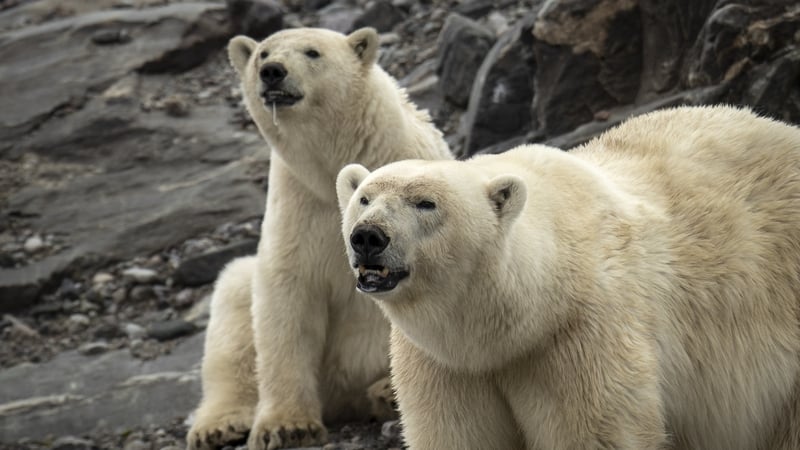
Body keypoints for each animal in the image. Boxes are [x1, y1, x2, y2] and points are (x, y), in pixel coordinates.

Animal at [186, 27, 451, 450]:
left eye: (313, 52)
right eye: (262, 54)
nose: (272, 72)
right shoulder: (299, 207)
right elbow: (286, 300)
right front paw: (286, 426)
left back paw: (384, 392)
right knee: (233, 313)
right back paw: (218, 424)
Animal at [336, 105, 800, 450]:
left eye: (425, 203)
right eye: (365, 198)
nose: (368, 237)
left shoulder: (580, 337)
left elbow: (597, 432)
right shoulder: (446, 364)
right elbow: (456, 434)